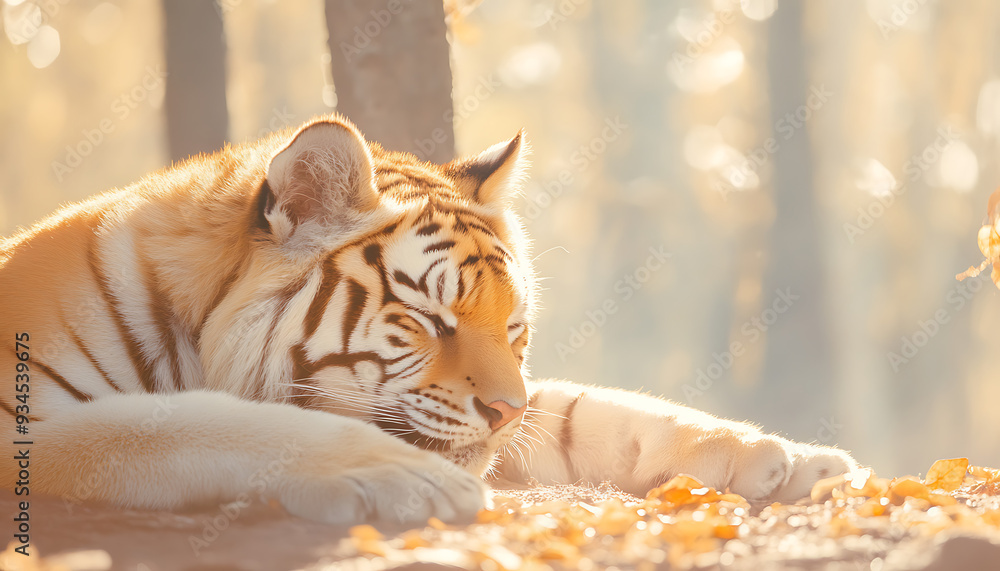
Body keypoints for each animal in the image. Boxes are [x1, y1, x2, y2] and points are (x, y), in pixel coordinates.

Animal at [0, 114, 856, 524]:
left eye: (514, 327)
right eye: (433, 318)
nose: (506, 410)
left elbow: (595, 410)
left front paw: (786, 455)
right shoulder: (27, 418)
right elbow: (183, 422)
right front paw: (402, 476)